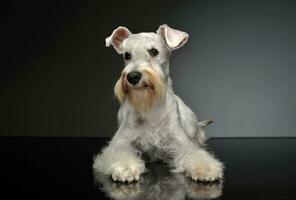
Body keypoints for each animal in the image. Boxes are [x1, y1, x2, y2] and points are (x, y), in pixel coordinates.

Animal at [93, 24, 223, 182]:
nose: (133, 76)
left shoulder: (181, 142)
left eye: (154, 51)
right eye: (127, 55)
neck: (150, 107)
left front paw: (205, 168)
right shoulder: (121, 142)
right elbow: (119, 153)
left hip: (191, 121)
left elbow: (193, 153)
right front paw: (125, 167)